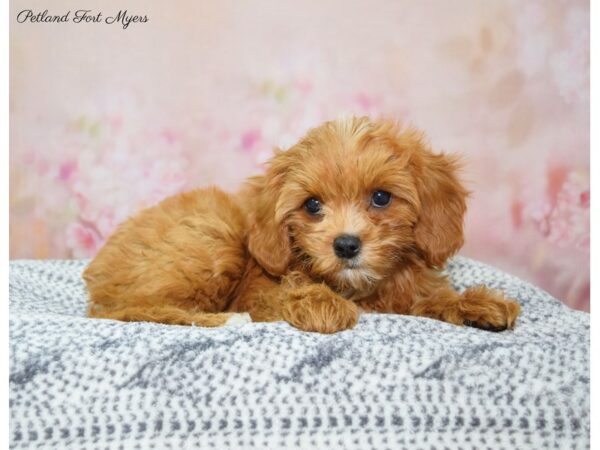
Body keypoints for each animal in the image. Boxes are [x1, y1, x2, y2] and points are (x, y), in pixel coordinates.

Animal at [84, 117, 520, 334]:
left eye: (381, 197)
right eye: (312, 205)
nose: (346, 245)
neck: (361, 289)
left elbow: (429, 298)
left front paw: (475, 304)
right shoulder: (260, 292)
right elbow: (285, 292)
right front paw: (321, 303)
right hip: (212, 238)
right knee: (131, 311)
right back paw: (221, 319)